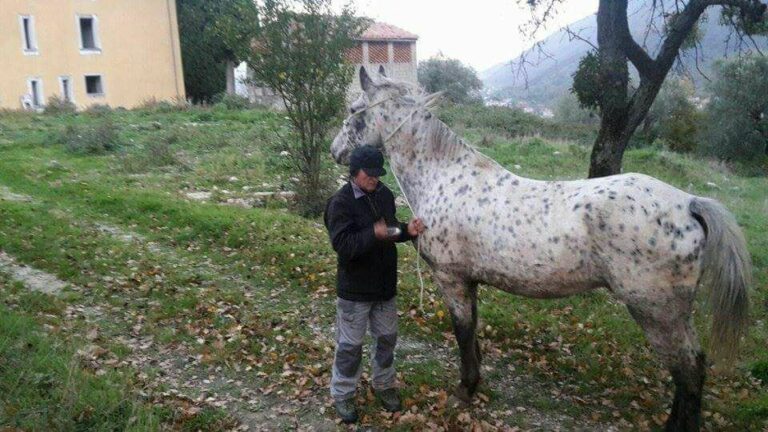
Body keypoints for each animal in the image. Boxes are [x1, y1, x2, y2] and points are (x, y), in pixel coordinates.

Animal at [330, 66, 752, 428]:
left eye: (353, 110)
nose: (336, 151)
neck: (444, 177)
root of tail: (689, 203)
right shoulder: (471, 282)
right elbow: (474, 331)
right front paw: (476, 383)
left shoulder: (452, 280)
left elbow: (463, 333)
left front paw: (465, 390)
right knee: (691, 368)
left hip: (658, 312)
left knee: (689, 369)